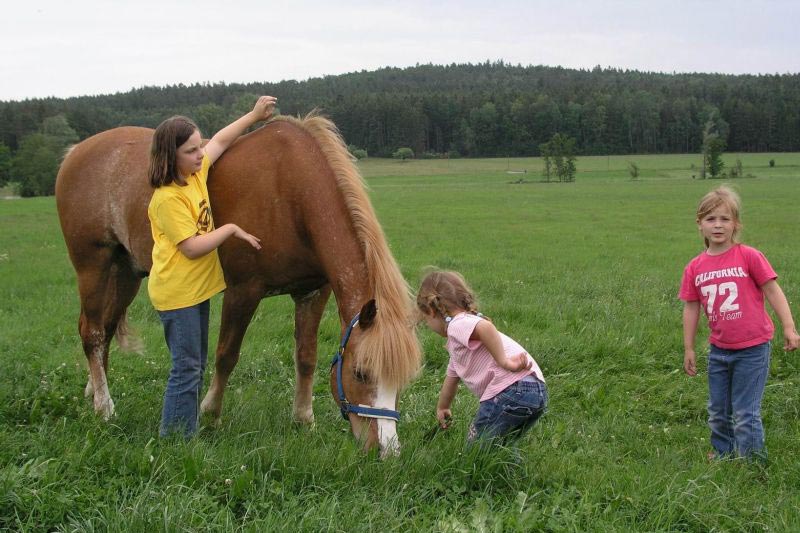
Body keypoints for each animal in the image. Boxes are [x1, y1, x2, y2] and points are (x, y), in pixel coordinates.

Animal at [54, 114, 422, 456]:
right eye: (360, 373)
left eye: (402, 381)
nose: (387, 450)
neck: (291, 192)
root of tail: (76, 152)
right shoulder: (243, 291)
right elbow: (226, 355)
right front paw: (210, 415)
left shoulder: (312, 291)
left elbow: (306, 356)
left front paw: (304, 420)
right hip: (93, 267)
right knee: (92, 333)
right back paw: (104, 407)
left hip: (126, 272)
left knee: (103, 328)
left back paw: (93, 390)